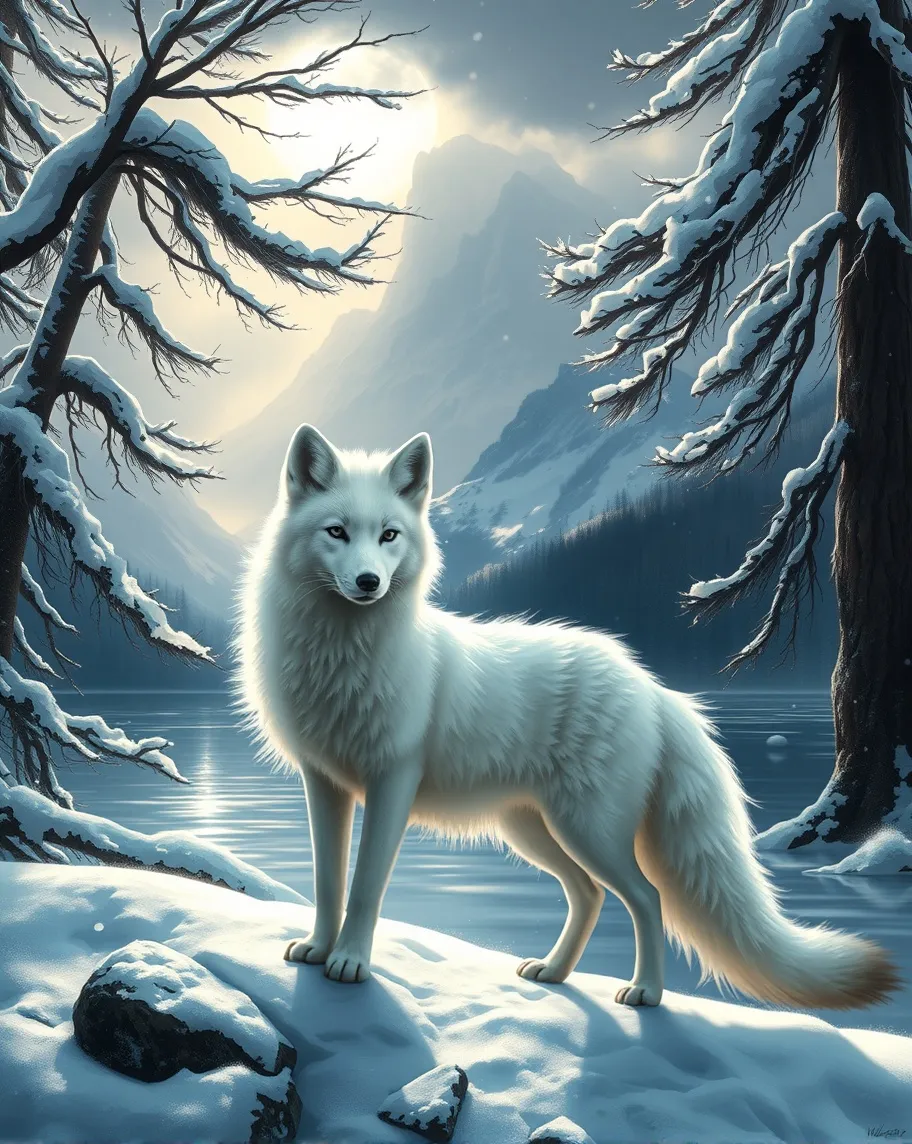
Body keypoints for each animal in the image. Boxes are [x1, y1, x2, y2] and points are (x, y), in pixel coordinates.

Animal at [236, 423, 900, 1010]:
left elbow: (367, 886)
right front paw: (318, 950)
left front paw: (350, 962)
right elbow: (327, 881)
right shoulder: (323, 783)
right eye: (337, 532)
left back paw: (646, 994)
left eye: (390, 535)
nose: (369, 581)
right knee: (588, 895)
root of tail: (655, 689)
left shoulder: (391, 782)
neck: (343, 656)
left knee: (645, 898)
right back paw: (554, 972)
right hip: (535, 830)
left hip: (587, 830)